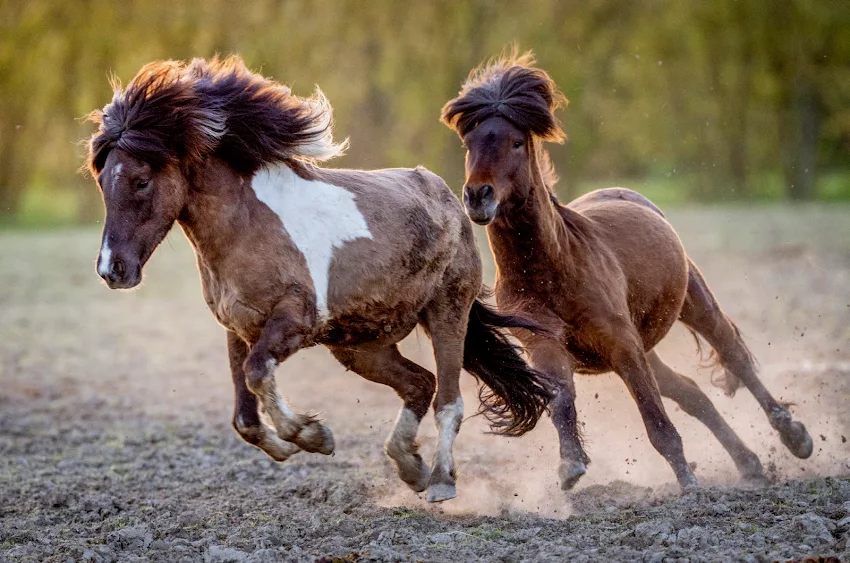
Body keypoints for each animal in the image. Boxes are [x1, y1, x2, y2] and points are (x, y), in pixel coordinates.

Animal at [84, 56, 548, 502]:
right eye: (102, 181)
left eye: (141, 181)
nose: (112, 269)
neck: (245, 224)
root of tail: (450, 198)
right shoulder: (239, 329)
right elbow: (244, 416)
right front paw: (294, 443)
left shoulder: (296, 319)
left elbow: (257, 374)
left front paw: (312, 435)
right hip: (361, 346)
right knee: (420, 384)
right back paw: (409, 467)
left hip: (447, 313)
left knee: (447, 400)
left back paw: (439, 481)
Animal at [440, 53, 812, 492]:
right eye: (469, 143)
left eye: (515, 141)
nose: (477, 196)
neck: (552, 269)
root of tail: (630, 194)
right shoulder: (546, 345)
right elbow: (561, 399)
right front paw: (570, 465)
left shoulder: (622, 344)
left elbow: (656, 421)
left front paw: (689, 484)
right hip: (648, 343)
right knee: (691, 392)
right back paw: (749, 464)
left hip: (693, 303)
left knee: (733, 355)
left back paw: (795, 436)